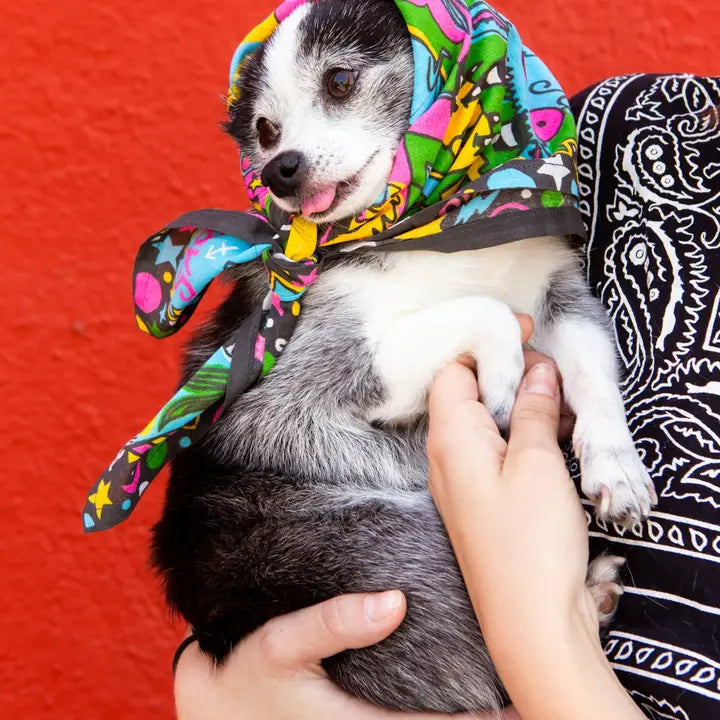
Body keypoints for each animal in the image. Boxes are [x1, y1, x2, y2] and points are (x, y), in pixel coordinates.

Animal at [152, 0, 660, 708]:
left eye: (340, 81)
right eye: (264, 129)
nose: (280, 168)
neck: (429, 231)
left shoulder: (562, 300)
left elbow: (593, 374)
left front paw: (617, 467)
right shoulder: (318, 374)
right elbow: (487, 314)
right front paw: (504, 379)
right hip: (385, 541)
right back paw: (592, 592)